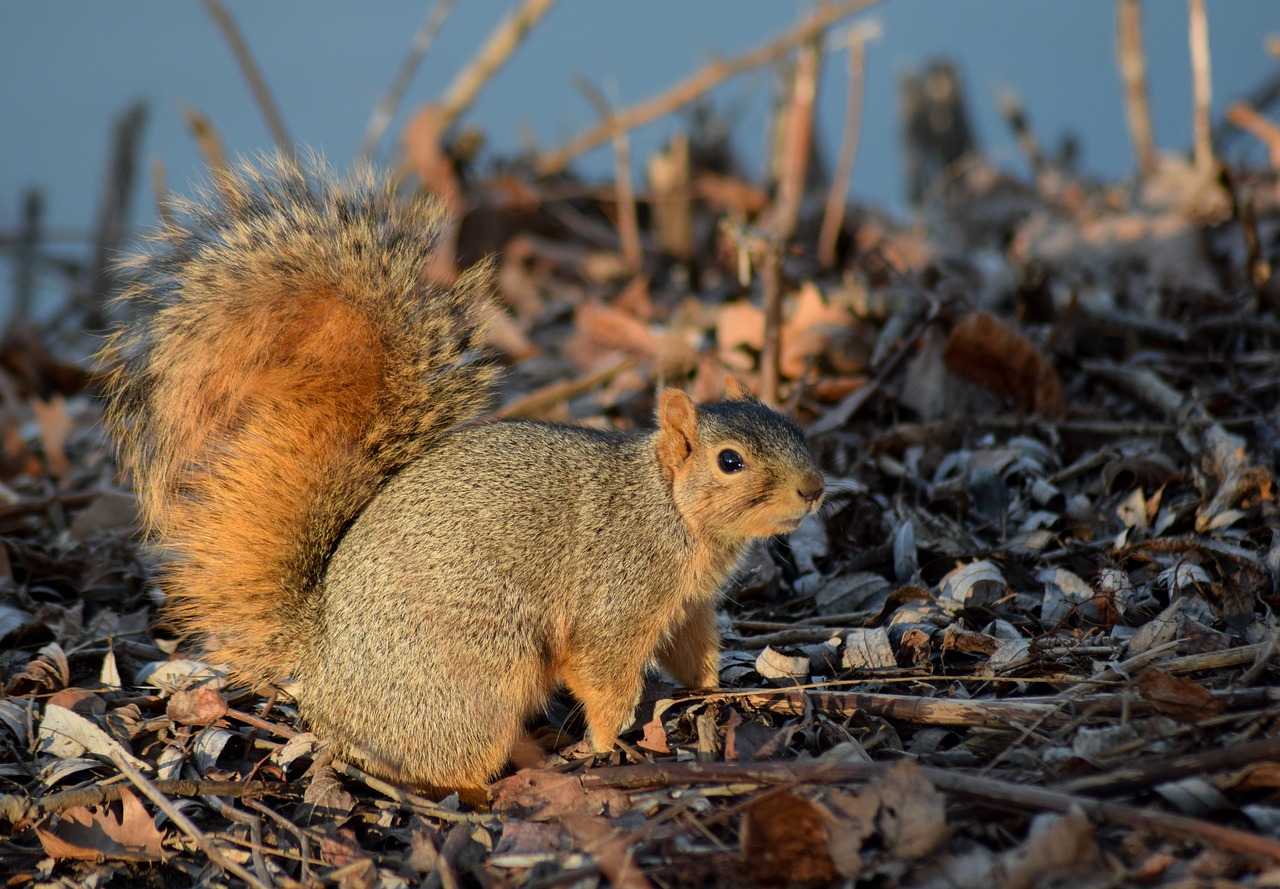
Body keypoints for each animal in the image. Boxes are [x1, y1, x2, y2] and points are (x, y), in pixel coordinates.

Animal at [97, 156, 819, 803]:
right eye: (730, 461)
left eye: (792, 424)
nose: (814, 489)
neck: (671, 513)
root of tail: (322, 657)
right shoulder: (616, 598)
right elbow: (603, 674)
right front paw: (607, 741)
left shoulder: (688, 605)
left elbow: (694, 653)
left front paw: (718, 691)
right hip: (476, 678)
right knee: (444, 761)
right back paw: (490, 783)